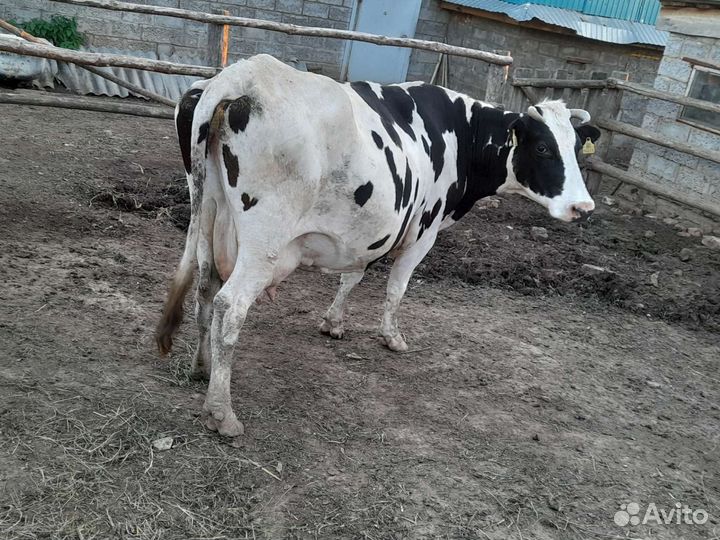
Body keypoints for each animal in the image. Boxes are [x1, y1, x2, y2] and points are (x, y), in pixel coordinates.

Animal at [156, 54, 601, 437]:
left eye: (576, 148)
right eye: (542, 147)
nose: (583, 207)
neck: (460, 132)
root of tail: (240, 76)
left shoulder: (367, 229)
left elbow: (352, 276)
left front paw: (334, 323)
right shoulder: (423, 230)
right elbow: (396, 287)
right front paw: (392, 337)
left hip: (207, 213)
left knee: (205, 288)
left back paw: (202, 368)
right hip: (263, 239)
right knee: (230, 306)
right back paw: (221, 411)